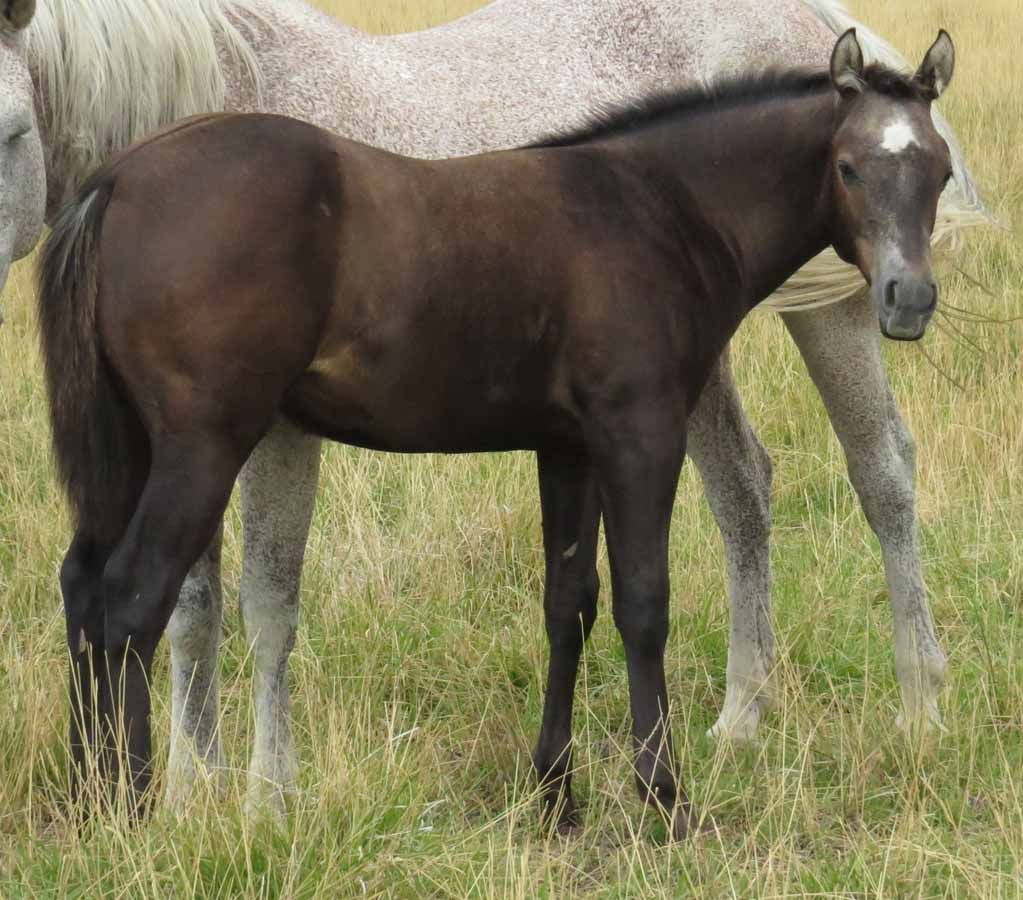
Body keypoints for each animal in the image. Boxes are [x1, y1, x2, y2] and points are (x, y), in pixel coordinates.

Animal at [1, 0, 987, 813]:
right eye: (849, 168)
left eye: (938, 170)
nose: (909, 298)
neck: (648, 203)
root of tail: (118, 181)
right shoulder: (634, 437)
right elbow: (641, 601)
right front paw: (658, 795)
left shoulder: (569, 447)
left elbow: (568, 603)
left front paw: (556, 792)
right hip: (197, 446)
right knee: (128, 596)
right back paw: (131, 802)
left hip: (140, 449)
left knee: (87, 588)